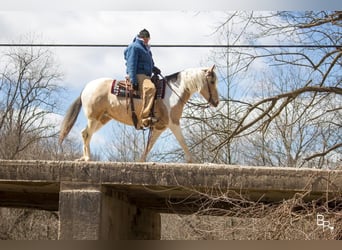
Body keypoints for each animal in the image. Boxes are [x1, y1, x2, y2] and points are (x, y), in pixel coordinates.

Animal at [58, 65, 219, 162]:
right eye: (212, 81)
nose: (217, 102)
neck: (174, 92)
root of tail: (86, 88)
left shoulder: (159, 127)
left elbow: (148, 147)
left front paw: (140, 162)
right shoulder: (173, 123)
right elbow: (183, 142)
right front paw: (194, 161)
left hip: (102, 119)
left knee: (84, 133)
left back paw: (83, 158)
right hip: (94, 117)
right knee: (87, 134)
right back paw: (88, 158)